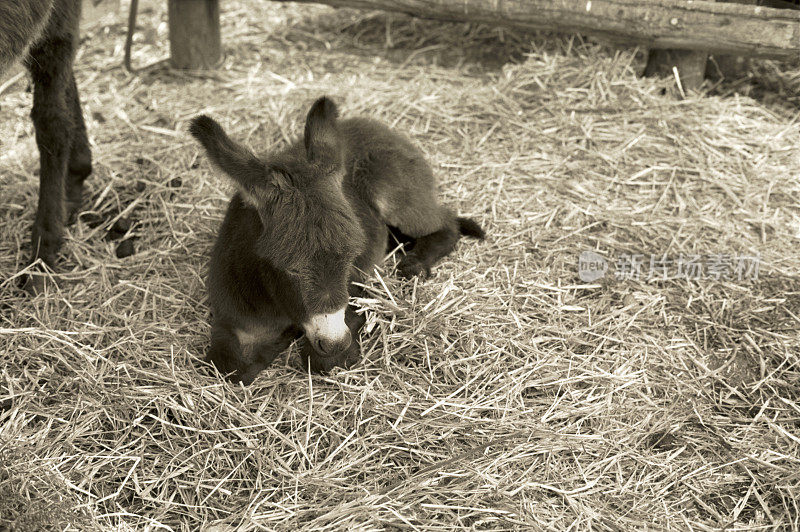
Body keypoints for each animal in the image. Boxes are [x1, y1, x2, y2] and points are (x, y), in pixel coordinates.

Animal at [191, 97, 484, 384]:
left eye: (350, 257)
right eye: (289, 269)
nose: (336, 343)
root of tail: (376, 125)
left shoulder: (355, 290)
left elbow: (319, 359)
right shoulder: (227, 317)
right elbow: (226, 367)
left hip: (393, 194)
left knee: (446, 223)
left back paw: (415, 264)